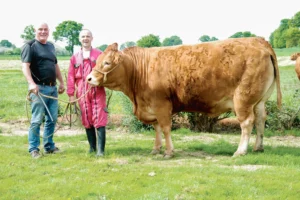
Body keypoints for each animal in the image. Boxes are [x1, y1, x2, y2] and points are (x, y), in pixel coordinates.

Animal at [86, 36, 282, 157]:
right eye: (97, 61)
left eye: (107, 62)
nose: (89, 78)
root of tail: (259, 41)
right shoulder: (151, 107)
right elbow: (157, 128)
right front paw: (156, 149)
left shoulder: (161, 104)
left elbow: (165, 128)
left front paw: (168, 152)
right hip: (259, 100)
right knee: (260, 120)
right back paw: (258, 147)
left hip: (243, 99)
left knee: (247, 123)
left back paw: (240, 151)